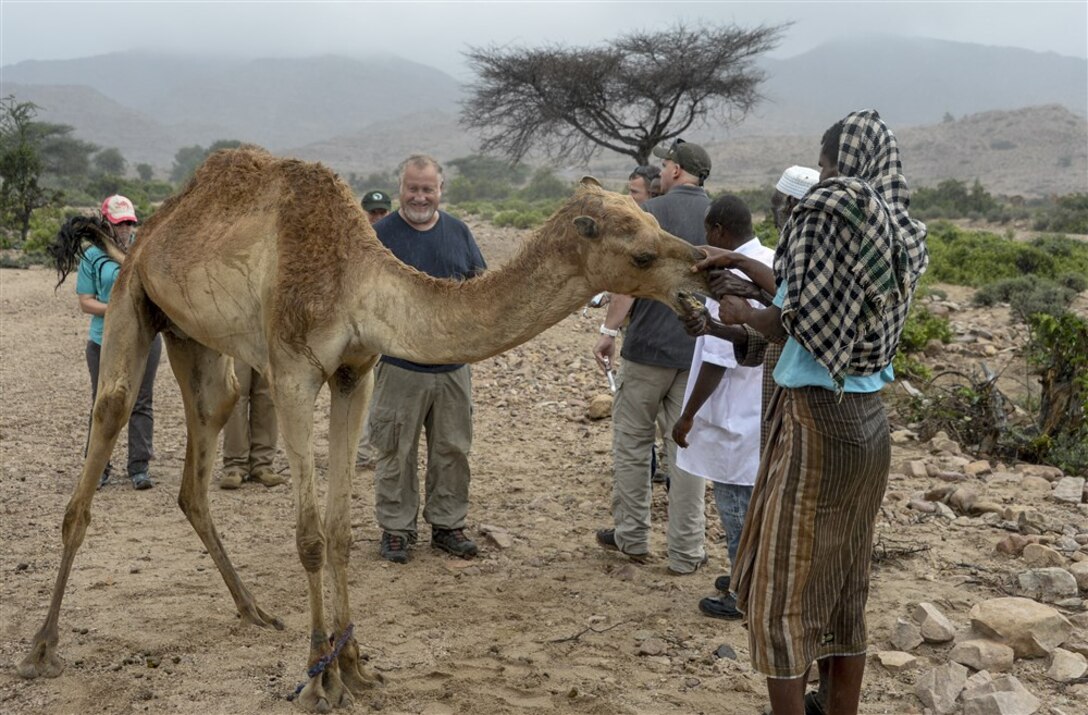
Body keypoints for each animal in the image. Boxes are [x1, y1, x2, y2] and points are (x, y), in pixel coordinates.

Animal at [21, 148, 709, 709]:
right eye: (644, 251)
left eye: (657, 226)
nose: (705, 268)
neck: (357, 283)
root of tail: (140, 238)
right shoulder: (294, 373)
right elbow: (309, 537)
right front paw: (317, 677)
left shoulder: (356, 374)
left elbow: (341, 533)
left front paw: (352, 665)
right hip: (132, 302)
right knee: (105, 426)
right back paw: (40, 649)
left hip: (192, 338)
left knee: (201, 458)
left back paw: (253, 609)